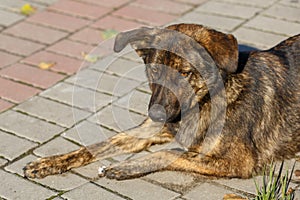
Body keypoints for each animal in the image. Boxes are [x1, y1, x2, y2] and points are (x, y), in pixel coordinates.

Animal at [24, 23, 300, 180]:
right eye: (154, 70)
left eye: (186, 73)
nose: (157, 114)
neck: (204, 102)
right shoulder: (149, 129)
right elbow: (96, 146)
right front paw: (50, 162)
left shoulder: (237, 162)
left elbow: (170, 152)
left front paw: (128, 166)